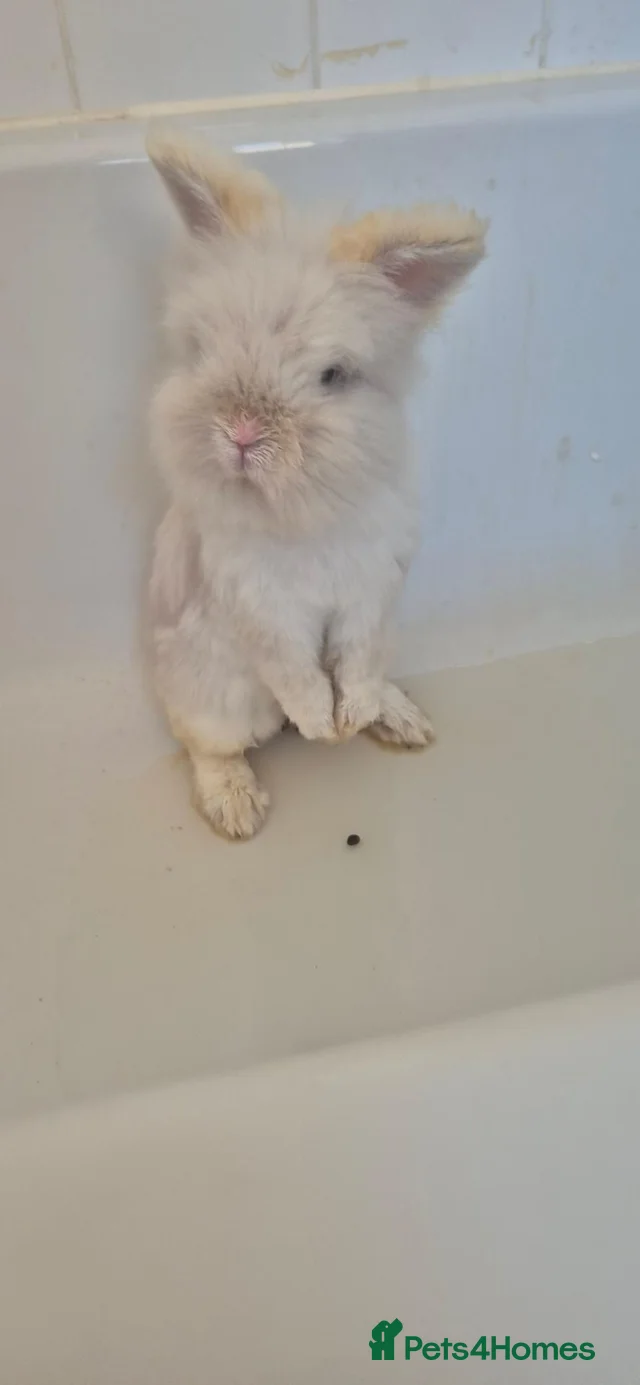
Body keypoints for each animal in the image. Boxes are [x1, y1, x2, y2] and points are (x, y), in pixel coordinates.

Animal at [147, 132, 486, 840]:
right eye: (203, 348)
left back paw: (398, 717)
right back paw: (236, 807)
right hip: (213, 695)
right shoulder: (262, 611)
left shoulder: (371, 592)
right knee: (205, 743)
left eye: (333, 375)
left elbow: (354, 663)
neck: (306, 511)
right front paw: (319, 726)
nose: (241, 433)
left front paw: (349, 720)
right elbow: (296, 674)